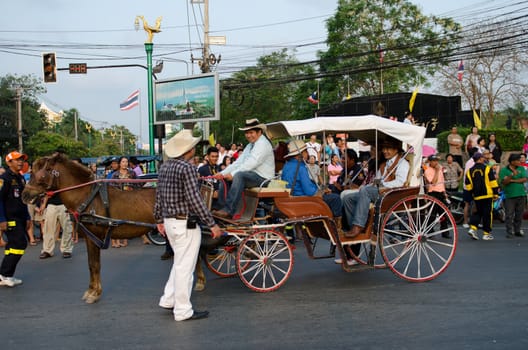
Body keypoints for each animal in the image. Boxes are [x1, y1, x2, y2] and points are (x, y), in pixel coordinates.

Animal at [22, 153, 208, 304]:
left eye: (42, 172)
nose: (25, 195)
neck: (87, 197)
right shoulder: (90, 237)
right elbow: (91, 265)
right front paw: (92, 290)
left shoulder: (93, 236)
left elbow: (94, 264)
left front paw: (94, 293)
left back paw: (199, 281)